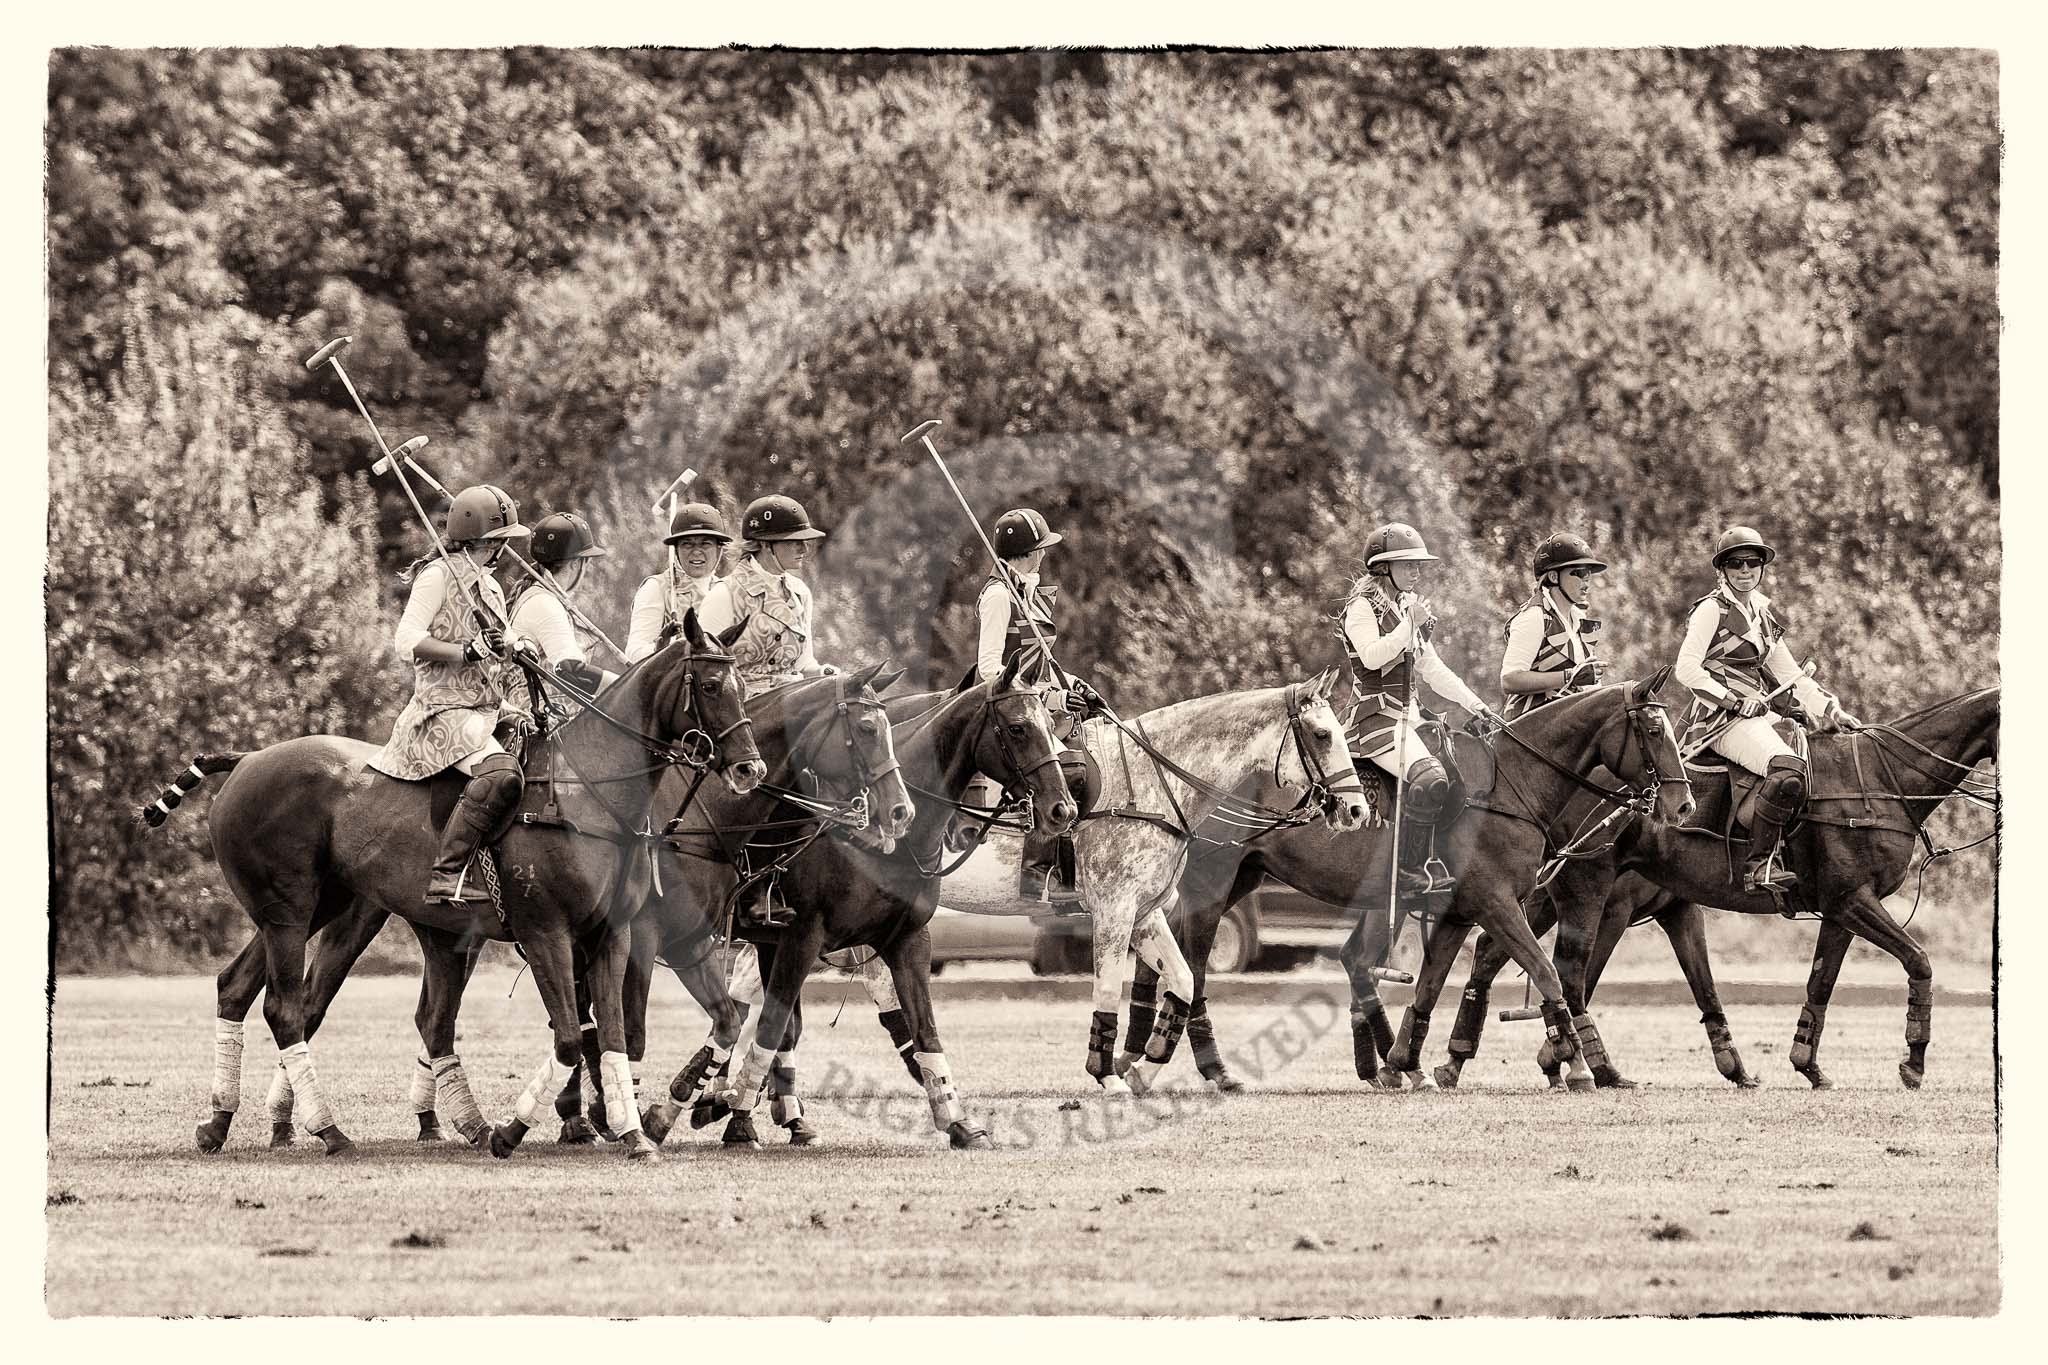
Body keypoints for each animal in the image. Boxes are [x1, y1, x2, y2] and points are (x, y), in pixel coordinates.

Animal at [149, 613, 761, 1162]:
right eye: (710, 686)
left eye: (743, 688)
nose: (749, 770)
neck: (586, 792)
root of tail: (247, 757)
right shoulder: (546, 933)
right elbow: (571, 1036)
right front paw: (511, 1133)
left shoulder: (611, 936)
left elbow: (611, 1037)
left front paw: (635, 1136)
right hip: (290, 911)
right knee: (285, 1008)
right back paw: (329, 1130)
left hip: (317, 907)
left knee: (238, 986)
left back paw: (218, 1122)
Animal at [905, 667, 1368, 1096]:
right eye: (1323, 734)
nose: (1357, 810)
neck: (1153, 787)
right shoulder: (1114, 911)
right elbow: (1110, 989)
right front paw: (1107, 1075)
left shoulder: (1146, 912)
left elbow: (1182, 980)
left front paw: (1144, 1068)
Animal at [1138, 679, 1695, 1096]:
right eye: (1652, 728)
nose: (1683, 805)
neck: (1514, 785)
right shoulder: (1497, 904)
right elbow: (1548, 973)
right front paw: (1576, 1065)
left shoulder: (1458, 912)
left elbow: (1429, 986)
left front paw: (1407, 1062)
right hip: (1212, 883)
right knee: (1194, 969)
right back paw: (1209, 1068)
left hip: (1239, 878)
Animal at [1433, 687, 1990, 1096]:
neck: (1879, 780)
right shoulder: (1854, 900)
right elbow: (1919, 961)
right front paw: (1913, 1063)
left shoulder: (1836, 908)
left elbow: (1817, 983)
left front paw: (1805, 1065)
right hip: (1584, 889)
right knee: (1562, 969)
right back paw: (1585, 1067)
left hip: (1556, 891)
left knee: (1493, 950)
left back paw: (1458, 1060)